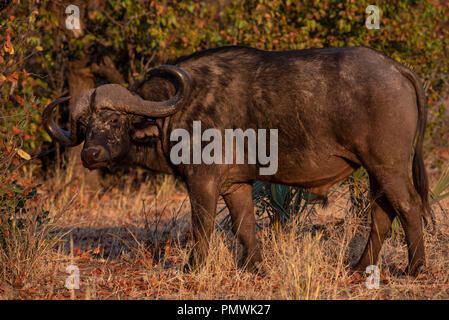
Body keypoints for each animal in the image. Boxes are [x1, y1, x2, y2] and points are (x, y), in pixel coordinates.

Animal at [43, 45, 430, 276]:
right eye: (84, 126)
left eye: (113, 121)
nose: (90, 155)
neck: (176, 111)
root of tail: (397, 69)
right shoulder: (235, 185)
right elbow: (245, 226)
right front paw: (255, 268)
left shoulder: (202, 182)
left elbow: (202, 226)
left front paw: (192, 268)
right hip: (376, 171)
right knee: (382, 212)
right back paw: (360, 267)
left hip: (388, 166)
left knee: (409, 206)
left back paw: (414, 268)